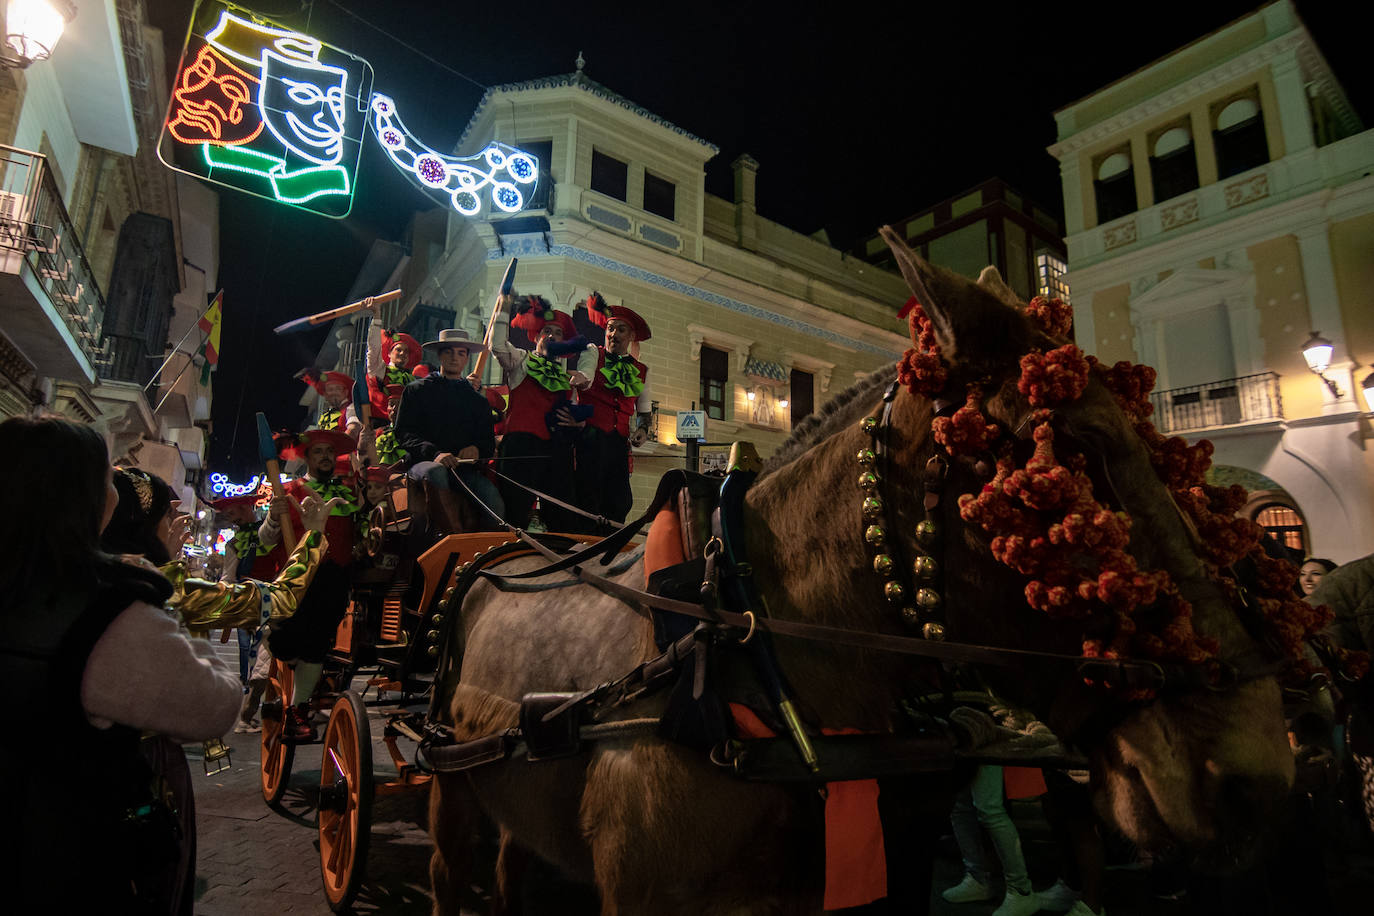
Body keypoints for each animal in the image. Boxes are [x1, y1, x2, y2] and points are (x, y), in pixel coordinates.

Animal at [428, 230, 1297, 916]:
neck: (744, 645)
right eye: (1076, 450)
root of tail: (495, 549)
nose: (1257, 778)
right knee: (448, 870)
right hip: (447, 783)